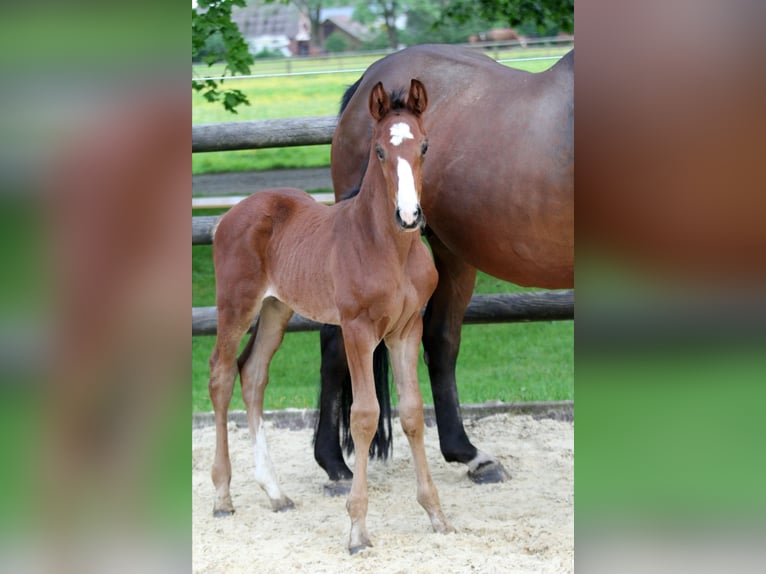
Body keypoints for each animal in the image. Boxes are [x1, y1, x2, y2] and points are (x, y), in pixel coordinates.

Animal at [208, 80, 456, 552]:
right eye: (379, 150)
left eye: (425, 146)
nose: (409, 216)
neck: (390, 249)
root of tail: (229, 215)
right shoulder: (358, 330)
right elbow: (364, 415)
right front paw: (357, 529)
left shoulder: (406, 330)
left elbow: (413, 413)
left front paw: (437, 514)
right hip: (236, 305)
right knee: (221, 375)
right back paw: (223, 496)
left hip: (277, 309)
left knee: (253, 375)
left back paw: (275, 492)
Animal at [316, 44, 572, 486]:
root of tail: (369, 79)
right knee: (337, 343)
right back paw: (334, 463)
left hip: (454, 255)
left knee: (440, 340)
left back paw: (469, 454)